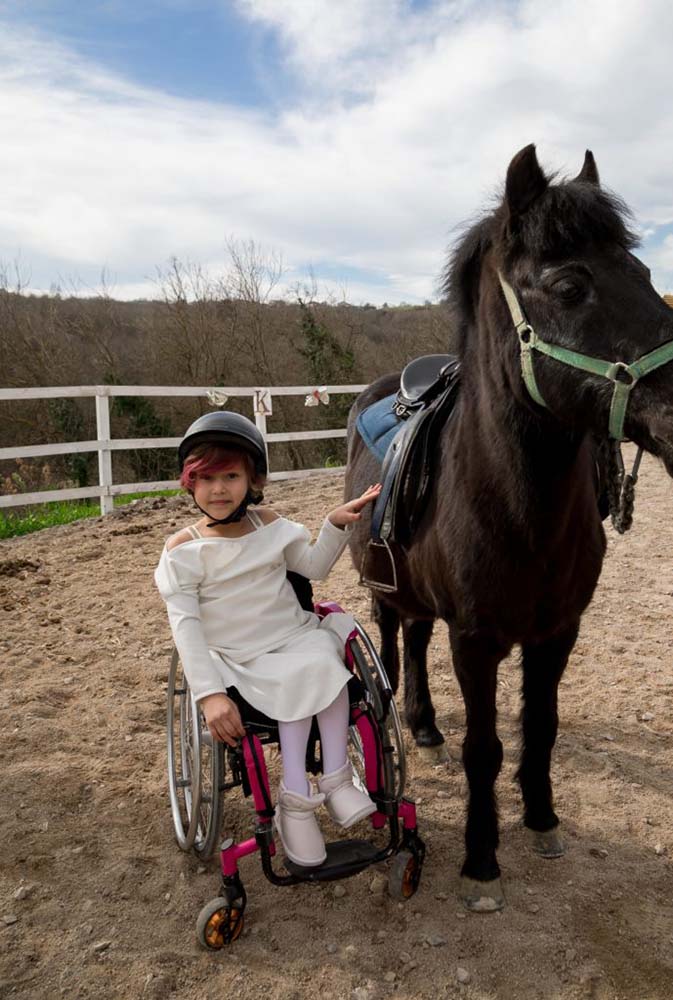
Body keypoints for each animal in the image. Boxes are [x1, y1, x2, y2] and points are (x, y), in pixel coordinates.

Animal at [344, 145, 672, 912]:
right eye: (569, 284)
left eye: (644, 275)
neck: (520, 512)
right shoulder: (476, 641)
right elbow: (485, 748)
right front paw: (481, 856)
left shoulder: (557, 633)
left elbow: (539, 729)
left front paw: (543, 821)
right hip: (383, 583)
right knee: (392, 636)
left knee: (414, 635)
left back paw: (424, 724)